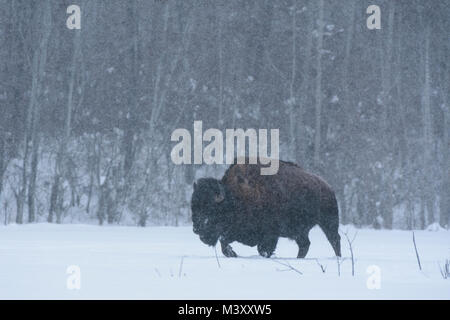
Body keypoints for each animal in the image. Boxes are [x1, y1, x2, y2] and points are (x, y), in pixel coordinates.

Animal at [191, 159, 342, 258]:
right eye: (193, 206)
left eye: (210, 208)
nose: (196, 229)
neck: (233, 197)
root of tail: (328, 187)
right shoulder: (235, 232)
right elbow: (223, 242)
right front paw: (233, 254)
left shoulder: (270, 234)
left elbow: (263, 249)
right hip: (301, 231)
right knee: (305, 244)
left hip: (328, 222)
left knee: (334, 239)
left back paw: (338, 258)